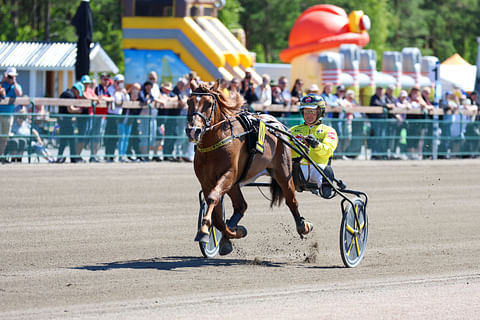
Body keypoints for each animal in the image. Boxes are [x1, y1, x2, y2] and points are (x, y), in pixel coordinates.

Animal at [186, 80, 314, 255]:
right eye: (188, 102)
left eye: (209, 103)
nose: (193, 131)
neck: (215, 144)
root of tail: (277, 124)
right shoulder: (207, 182)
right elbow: (218, 217)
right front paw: (232, 233)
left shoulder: (228, 175)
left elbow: (213, 198)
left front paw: (205, 231)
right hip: (235, 184)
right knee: (241, 206)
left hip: (283, 171)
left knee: (291, 200)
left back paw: (302, 226)